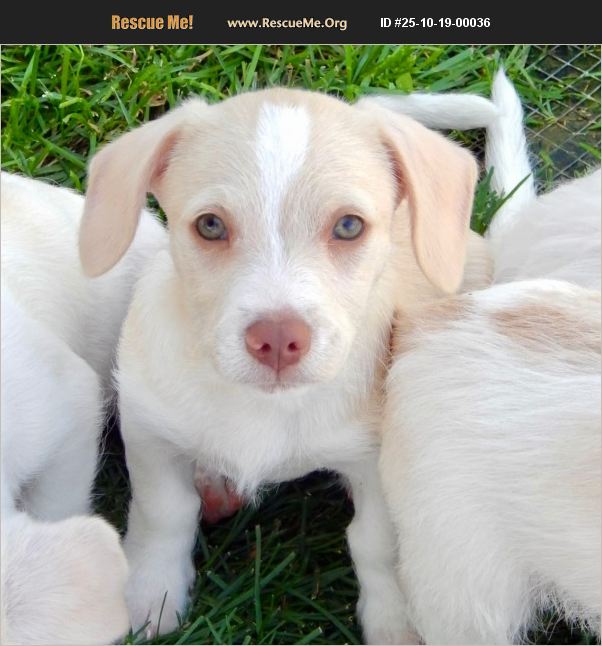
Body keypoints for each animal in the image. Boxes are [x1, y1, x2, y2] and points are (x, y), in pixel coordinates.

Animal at [78, 87, 493, 641]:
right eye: (210, 225)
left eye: (348, 226)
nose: (276, 338)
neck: (263, 406)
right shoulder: (148, 429)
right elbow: (164, 512)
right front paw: (151, 592)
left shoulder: (377, 460)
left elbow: (376, 543)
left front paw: (393, 621)